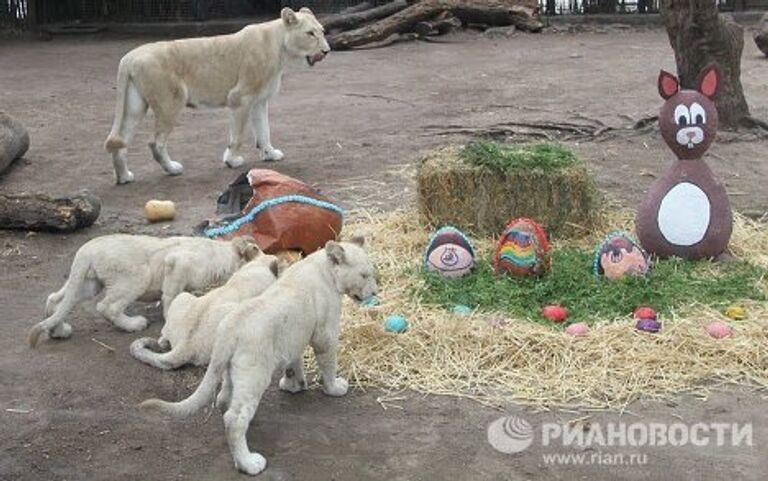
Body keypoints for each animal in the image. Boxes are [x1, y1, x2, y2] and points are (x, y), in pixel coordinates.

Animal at [103, 7, 330, 184]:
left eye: (322, 31)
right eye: (310, 33)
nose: (327, 51)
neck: (280, 47)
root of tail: (129, 57)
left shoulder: (259, 101)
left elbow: (264, 131)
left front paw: (270, 154)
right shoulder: (240, 98)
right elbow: (237, 136)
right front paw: (232, 160)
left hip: (134, 106)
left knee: (121, 142)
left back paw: (124, 177)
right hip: (170, 102)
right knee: (155, 143)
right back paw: (172, 169)